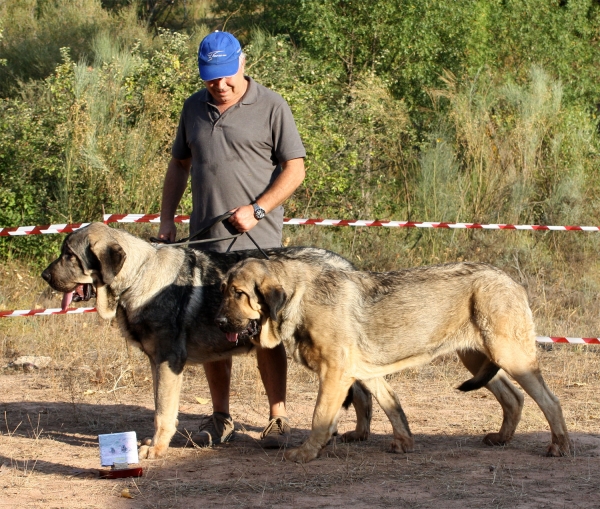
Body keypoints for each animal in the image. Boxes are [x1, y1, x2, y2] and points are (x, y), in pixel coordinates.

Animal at [43, 222, 380, 456]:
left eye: (69, 256)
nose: (45, 276)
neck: (139, 276)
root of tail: (348, 266)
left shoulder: (169, 362)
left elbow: (163, 413)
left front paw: (157, 449)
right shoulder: (157, 363)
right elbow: (159, 407)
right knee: (361, 393)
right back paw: (358, 433)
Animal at [216, 258, 572, 460]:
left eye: (238, 293)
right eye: (223, 290)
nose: (218, 322)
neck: (298, 296)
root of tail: (512, 281)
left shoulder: (334, 373)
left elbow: (320, 418)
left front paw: (306, 453)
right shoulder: (363, 371)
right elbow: (391, 405)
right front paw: (404, 442)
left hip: (510, 355)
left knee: (550, 401)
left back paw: (559, 447)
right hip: (476, 356)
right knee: (512, 397)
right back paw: (501, 439)